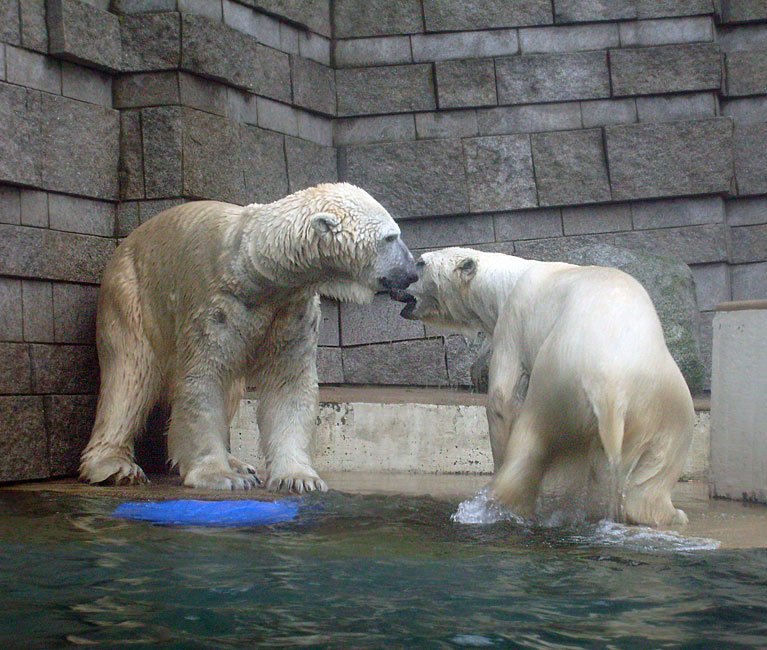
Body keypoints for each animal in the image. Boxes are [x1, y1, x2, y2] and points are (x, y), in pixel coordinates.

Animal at [81, 182, 416, 492]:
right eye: (390, 237)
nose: (412, 272)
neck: (257, 266)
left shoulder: (292, 309)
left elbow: (288, 384)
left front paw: (298, 478)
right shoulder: (216, 304)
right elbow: (204, 379)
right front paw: (220, 476)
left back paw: (240, 463)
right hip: (130, 295)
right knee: (129, 377)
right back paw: (116, 467)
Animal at [396, 246, 696, 524]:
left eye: (420, 263)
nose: (401, 280)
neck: (507, 281)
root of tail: (613, 390)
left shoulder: (513, 320)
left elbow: (502, 396)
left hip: (558, 383)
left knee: (532, 438)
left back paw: (495, 504)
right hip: (665, 407)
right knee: (652, 476)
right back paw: (669, 514)